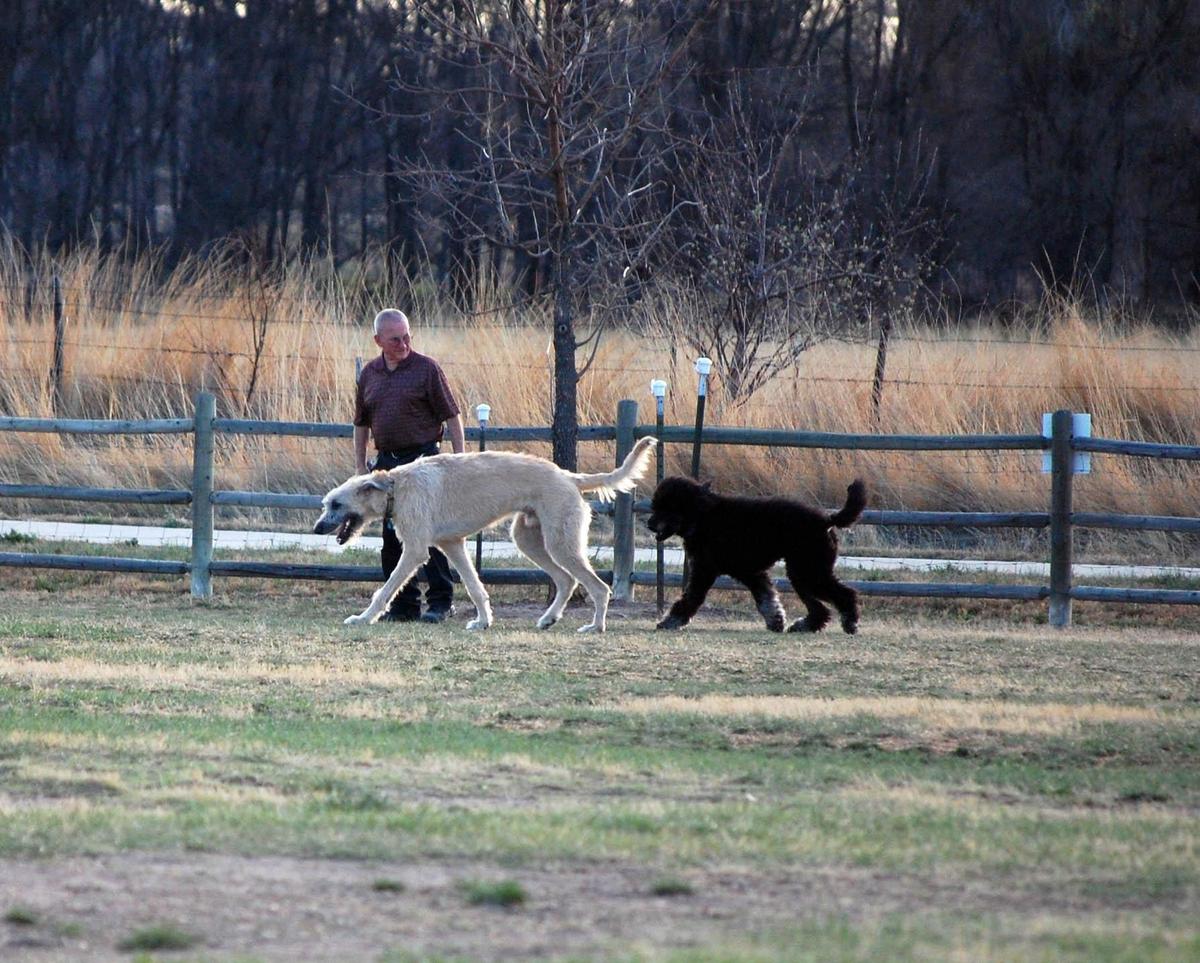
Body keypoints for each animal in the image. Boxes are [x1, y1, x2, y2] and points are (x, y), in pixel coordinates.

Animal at [312, 437, 657, 629]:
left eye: (337, 504)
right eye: (326, 504)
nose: (317, 528)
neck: (397, 486)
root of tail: (569, 476)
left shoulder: (415, 551)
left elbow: (384, 590)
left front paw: (362, 618)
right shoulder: (452, 544)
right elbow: (474, 586)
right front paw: (483, 621)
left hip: (560, 542)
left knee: (598, 587)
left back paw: (595, 627)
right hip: (530, 540)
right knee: (566, 580)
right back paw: (549, 619)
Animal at [648, 475, 864, 629]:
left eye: (664, 507)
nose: (649, 524)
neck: (702, 516)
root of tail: (827, 520)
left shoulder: (705, 570)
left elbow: (691, 598)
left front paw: (670, 621)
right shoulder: (751, 573)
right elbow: (766, 597)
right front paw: (776, 621)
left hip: (808, 570)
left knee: (844, 595)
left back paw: (849, 621)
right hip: (802, 572)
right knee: (820, 608)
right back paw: (807, 625)